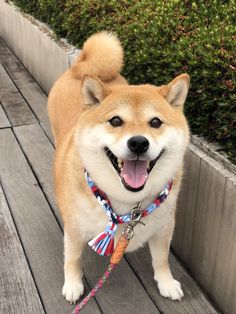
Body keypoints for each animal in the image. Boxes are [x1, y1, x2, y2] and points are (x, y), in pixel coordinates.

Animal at [48, 31, 190, 304]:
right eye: (115, 121)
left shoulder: (164, 227)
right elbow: (73, 258)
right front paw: (72, 284)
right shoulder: (74, 229)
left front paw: (166, 283)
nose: (138, 142)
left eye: (155, 122)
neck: (126, 204)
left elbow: (161, 259)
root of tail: (81, 65)